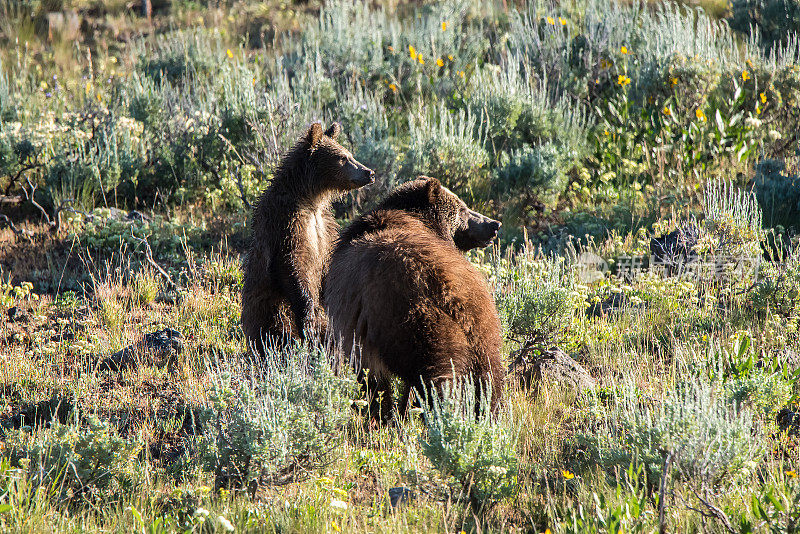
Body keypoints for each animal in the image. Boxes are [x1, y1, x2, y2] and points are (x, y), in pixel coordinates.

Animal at [241, 122, 376, 356]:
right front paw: (308, 316)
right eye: (342, 158)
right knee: (276, 332)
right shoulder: (287, 224)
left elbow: (328, 263)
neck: (310, 199)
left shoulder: (324, 226)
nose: (369, 172)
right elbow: (292, 264)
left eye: (350, 154)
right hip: (270, 310)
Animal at [324, 178, 500, 420]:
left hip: (415, 324)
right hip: (483, 326)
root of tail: (451, 294)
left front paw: (380, 411)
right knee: (489, 379)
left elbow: (370, 377)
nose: (494, 224)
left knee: (437, 377)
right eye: (463, 209)